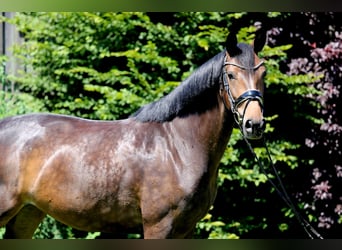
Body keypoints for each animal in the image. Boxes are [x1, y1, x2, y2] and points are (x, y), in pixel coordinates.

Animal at [0, 31, 268, 238]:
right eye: (231, 75)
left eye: (263, 74)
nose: (254, 124)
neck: (179, 146)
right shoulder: (158, 226)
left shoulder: (187, 228)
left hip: (28, 213)